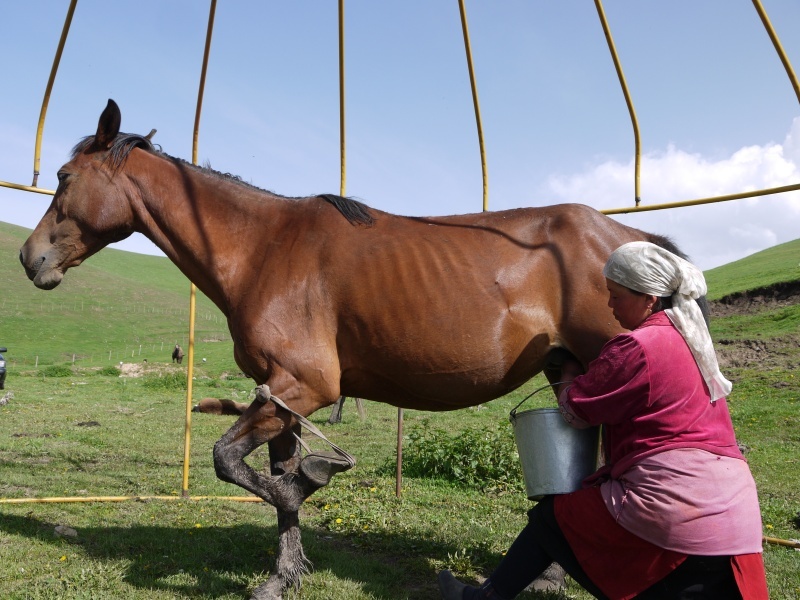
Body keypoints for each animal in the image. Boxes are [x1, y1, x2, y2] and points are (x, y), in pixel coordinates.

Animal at [20, 100, 698, 600]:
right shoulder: (280, 397)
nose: (30, 259)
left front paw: (311, 484)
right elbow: (270, 480)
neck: (263, 248)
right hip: (570, 374)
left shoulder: (304, 387)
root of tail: (627, 234)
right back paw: (552, 575)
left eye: (64, 179)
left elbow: (235, 463)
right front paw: (284, 573)